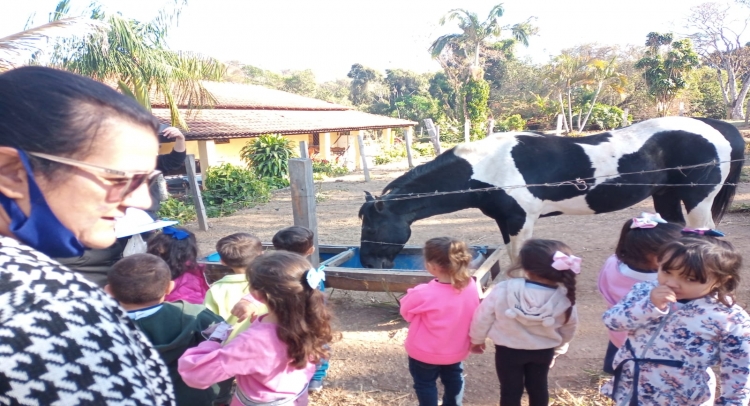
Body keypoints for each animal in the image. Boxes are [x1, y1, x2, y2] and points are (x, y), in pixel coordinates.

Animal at [358, 116, 748, 270]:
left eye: (372, 226)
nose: (369, 262)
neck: (489, 166)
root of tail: (714, 127)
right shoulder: (507, 220)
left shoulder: (520, 219)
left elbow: (518, 257)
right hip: (666, 195)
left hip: (698, 199)